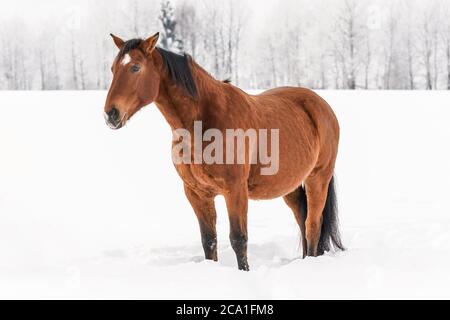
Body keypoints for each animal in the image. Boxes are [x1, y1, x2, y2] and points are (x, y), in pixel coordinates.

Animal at [105, 33, 344, 272]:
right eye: (113, 69)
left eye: (135, 67)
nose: (110, 114)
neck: (203, 122)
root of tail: (322, 105)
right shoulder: (196, 193)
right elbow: (208, 240)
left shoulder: (235, 189)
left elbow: (238, 238)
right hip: (289, 184)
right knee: (302, 216)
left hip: (318, 178)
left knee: (312, 224)